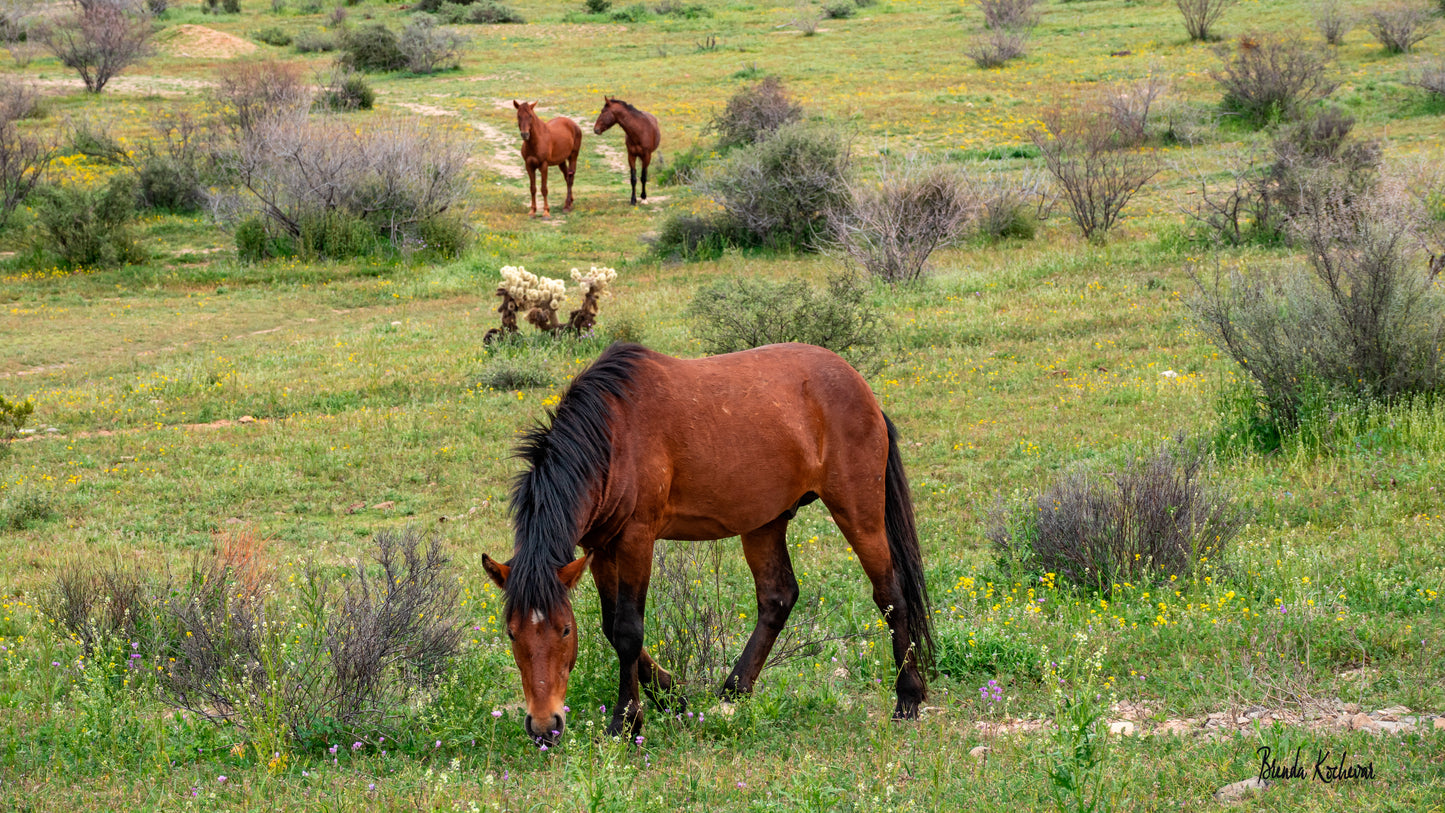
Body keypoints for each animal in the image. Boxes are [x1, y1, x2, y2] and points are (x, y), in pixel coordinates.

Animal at [482, 342, 935, 745]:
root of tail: (863, 390)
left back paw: (908, 698)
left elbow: (627, 630)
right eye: (511, 634)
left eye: (564, 630)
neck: (612, 434)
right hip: (765, 522)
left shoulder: (636, 539)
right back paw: (735, 690)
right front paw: (670, 698)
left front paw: (626, 723)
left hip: (858, 512)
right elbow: (612, 628)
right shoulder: (601, 550)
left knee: (891, 596)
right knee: (778, 598)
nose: (544, 726)